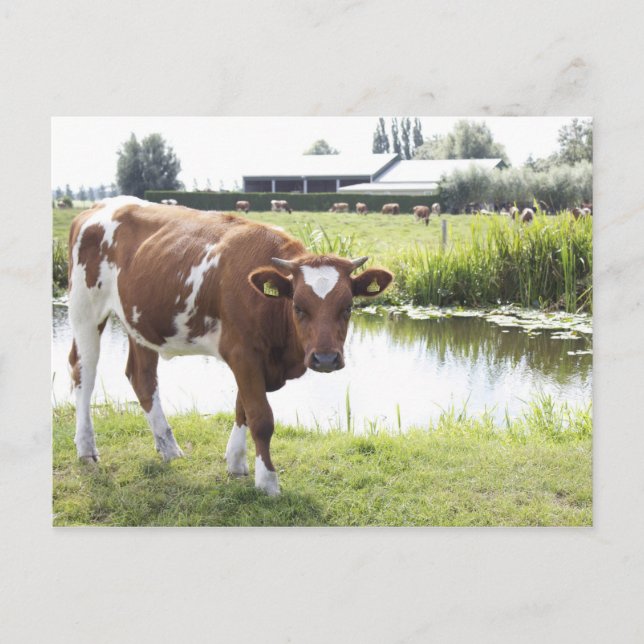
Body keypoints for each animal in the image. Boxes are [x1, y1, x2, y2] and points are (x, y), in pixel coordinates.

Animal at [67, 196, 393, 496]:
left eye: (348, 307)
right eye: (298, 307)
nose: (325, 359)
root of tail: (98, 206)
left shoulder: (252, 357)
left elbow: (242, 408)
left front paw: (236, 463)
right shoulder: (243, 354)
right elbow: (260, 417)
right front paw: (268, 483)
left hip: (139, 321)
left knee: (142, 378)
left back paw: (169, 449)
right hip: (85, 309)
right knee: (84, 371)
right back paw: (86, 448)